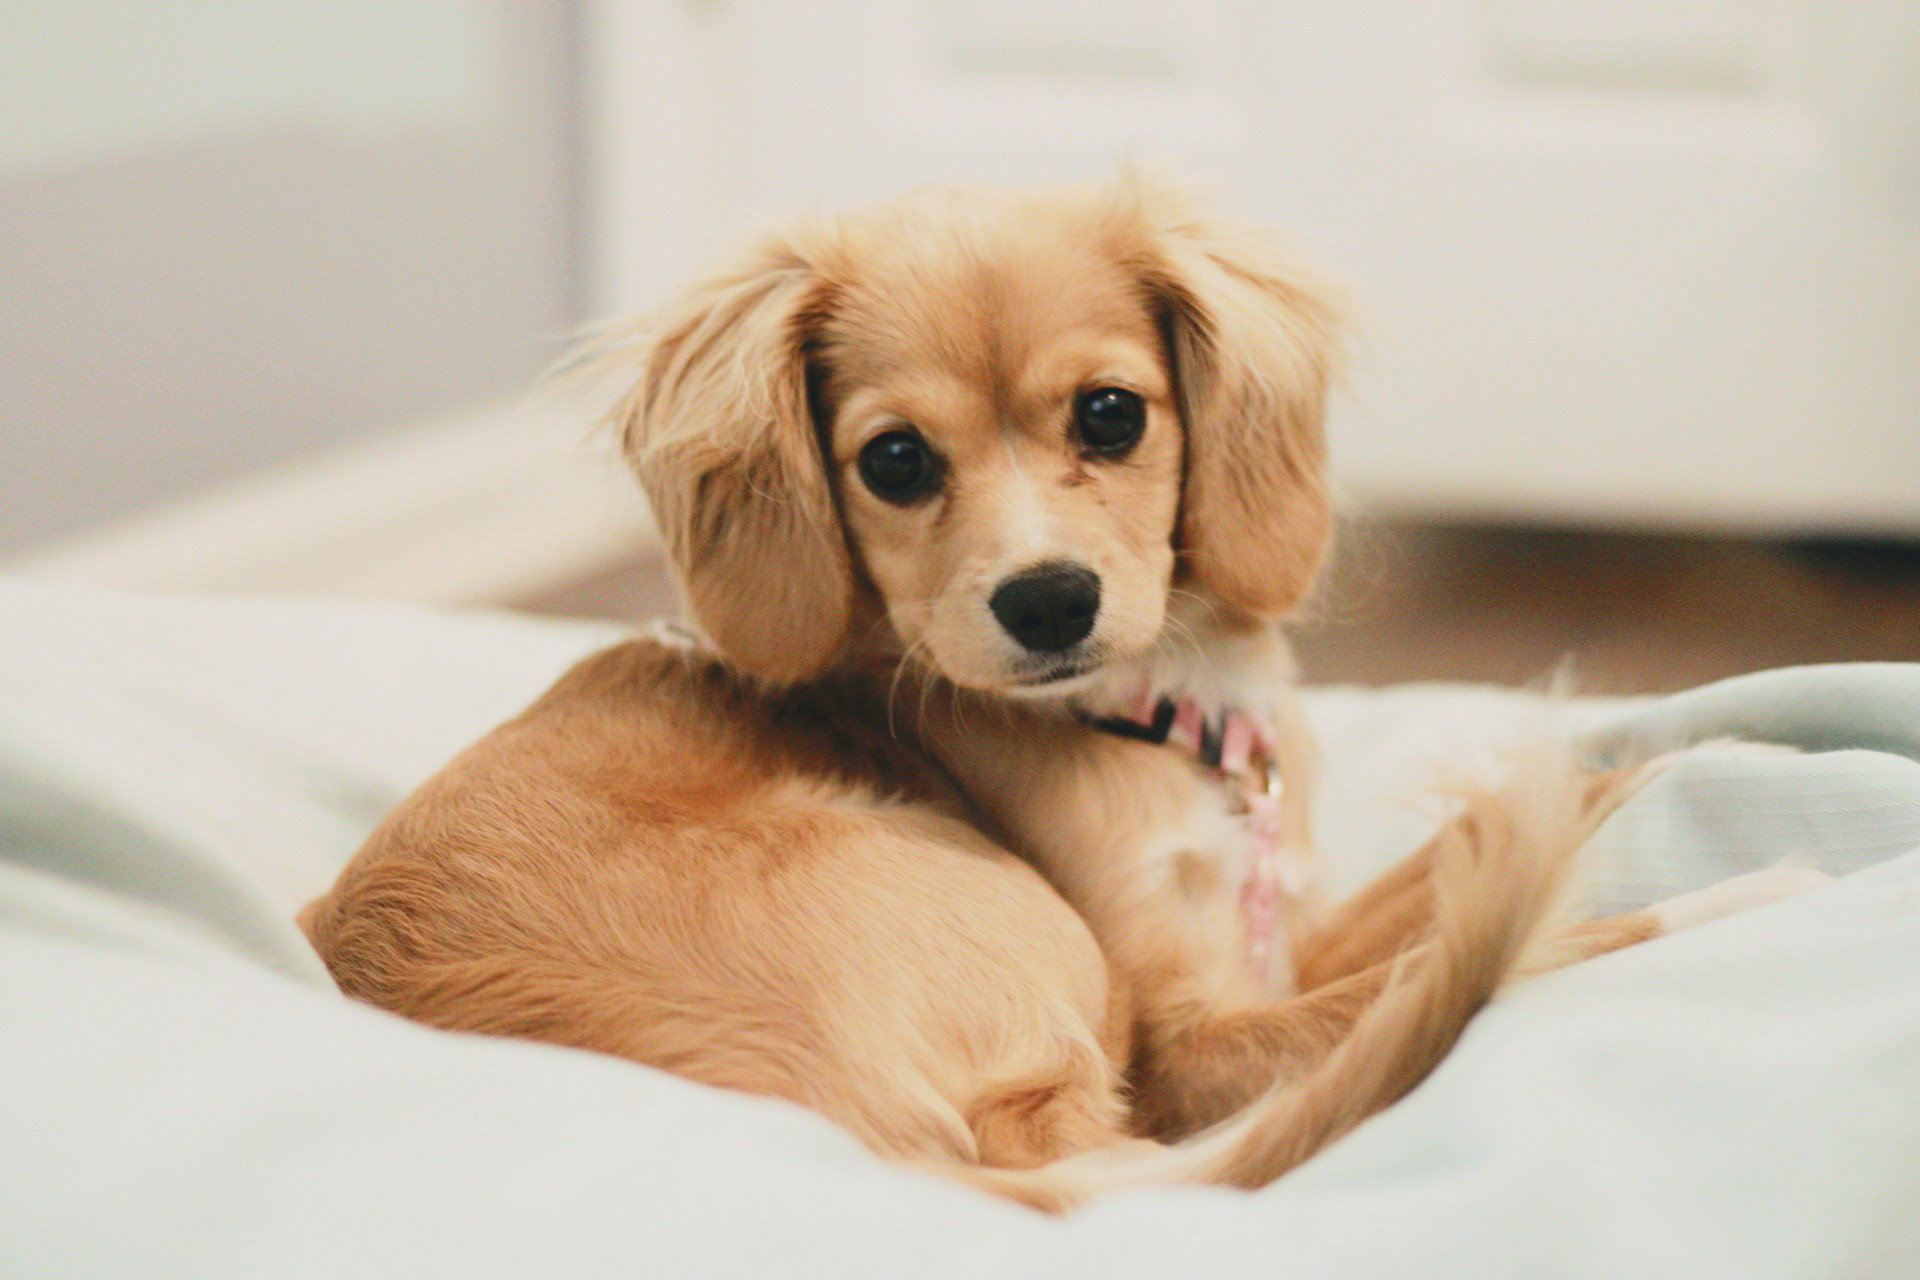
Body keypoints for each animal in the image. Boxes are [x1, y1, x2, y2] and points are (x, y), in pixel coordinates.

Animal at [301, 177, 1820, 1210]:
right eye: (895, 460)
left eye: (1110, 413)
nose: (1046, 603)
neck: (1166, 719)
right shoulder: (1192, 1038)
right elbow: (1458, 962)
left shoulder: (1286, 923)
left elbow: (1483, 843)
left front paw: (1704, 738)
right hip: (1023, 940)